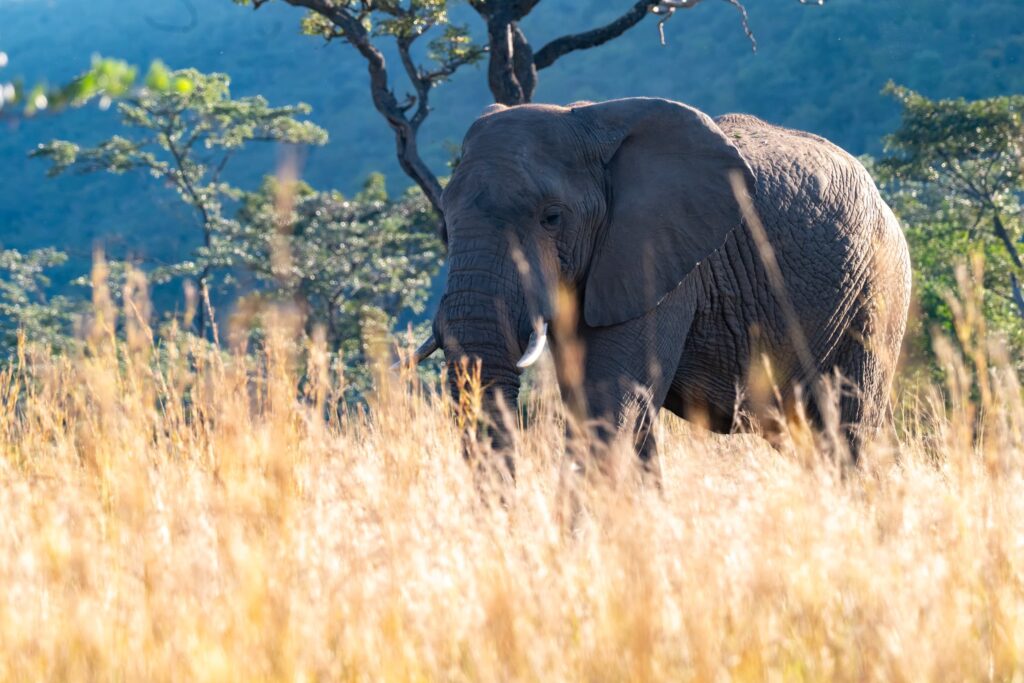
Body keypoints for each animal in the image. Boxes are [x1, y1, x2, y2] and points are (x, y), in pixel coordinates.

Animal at [409, 97, 913, 475]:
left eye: (551, 218)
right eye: (444, 226)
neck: (586, 120)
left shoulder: (661, 259)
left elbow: (609, 406)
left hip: (876, 288)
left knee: (847, 429)